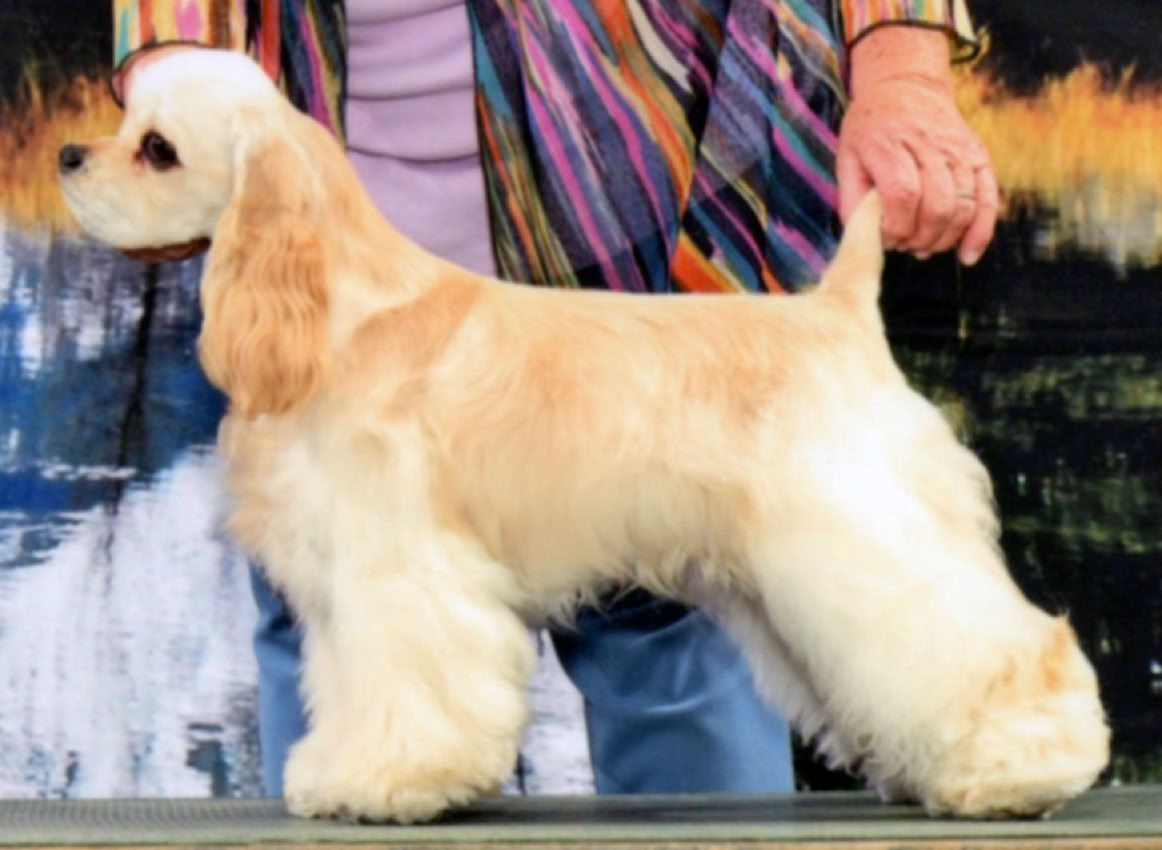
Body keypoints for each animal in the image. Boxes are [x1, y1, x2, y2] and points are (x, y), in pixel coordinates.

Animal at [60, 46, 1109, 823]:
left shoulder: (400, 564)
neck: (336, 312)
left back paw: (1021, 768)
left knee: (989, 642)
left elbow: (407, 681)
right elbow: (354, 682)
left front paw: (387, 782)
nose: (68, 157)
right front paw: (337, 772)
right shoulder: (346, 581)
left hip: (860, 529)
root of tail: (839, 311)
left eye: (157, 148)